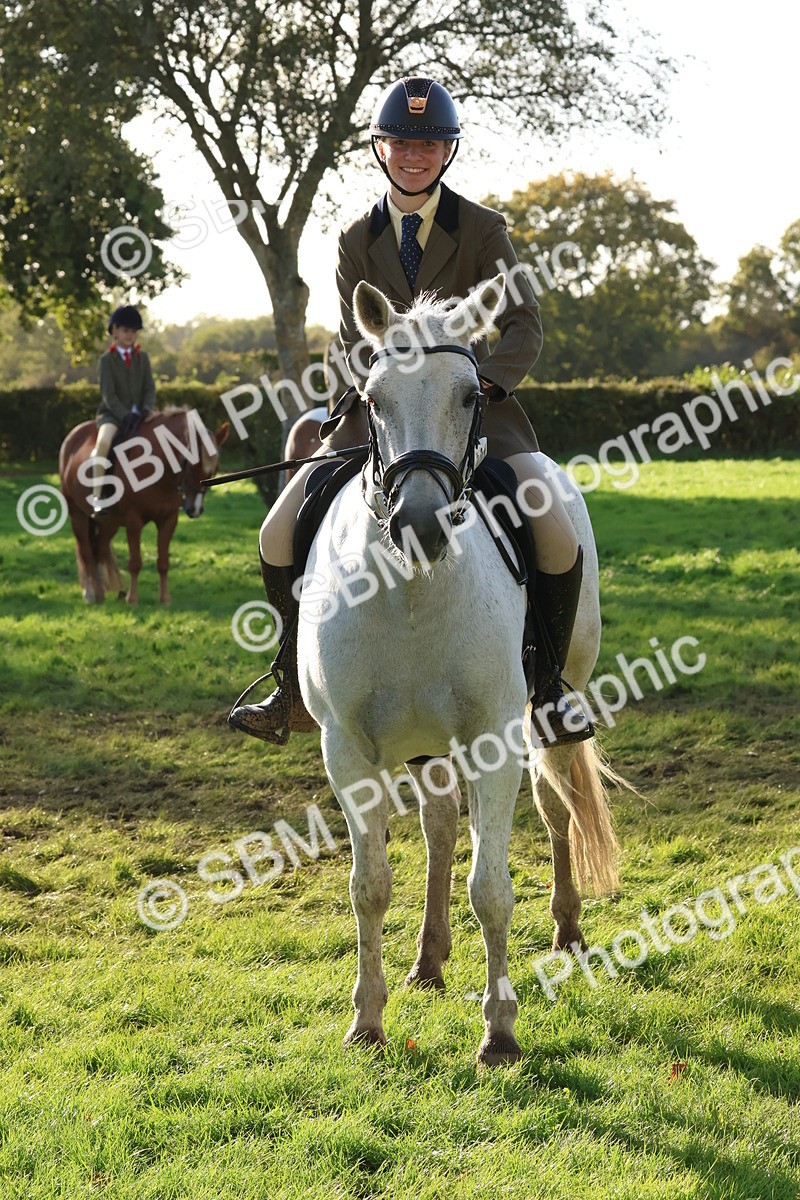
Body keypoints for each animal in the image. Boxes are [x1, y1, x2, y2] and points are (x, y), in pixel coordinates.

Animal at [59, 407, 229, 605]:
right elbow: (135, 562)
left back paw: (100, 593)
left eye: (215, 469)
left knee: (99, 550)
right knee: (86, 551)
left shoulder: (169, 519)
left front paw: (165, 599)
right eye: (191, 465)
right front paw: (132, 599)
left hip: (109, 523)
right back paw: (91, 593)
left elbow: (163, 562)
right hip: (77, 514)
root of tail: (73, 435)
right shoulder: (134, 519)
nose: (195, 510)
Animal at [297, 276, 619, 1066]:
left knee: (557, 805)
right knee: (441, 825)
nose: (419, 524)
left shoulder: (494, 739)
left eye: (472, 395)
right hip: (424, 744)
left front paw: (499, 1033)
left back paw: (567, 928)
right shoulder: (347, 750)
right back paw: (429, 959)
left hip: (550, 709)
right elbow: (369, 885)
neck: (411, 590)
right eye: (373, 397)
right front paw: (366, 1021)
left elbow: (492, 889)